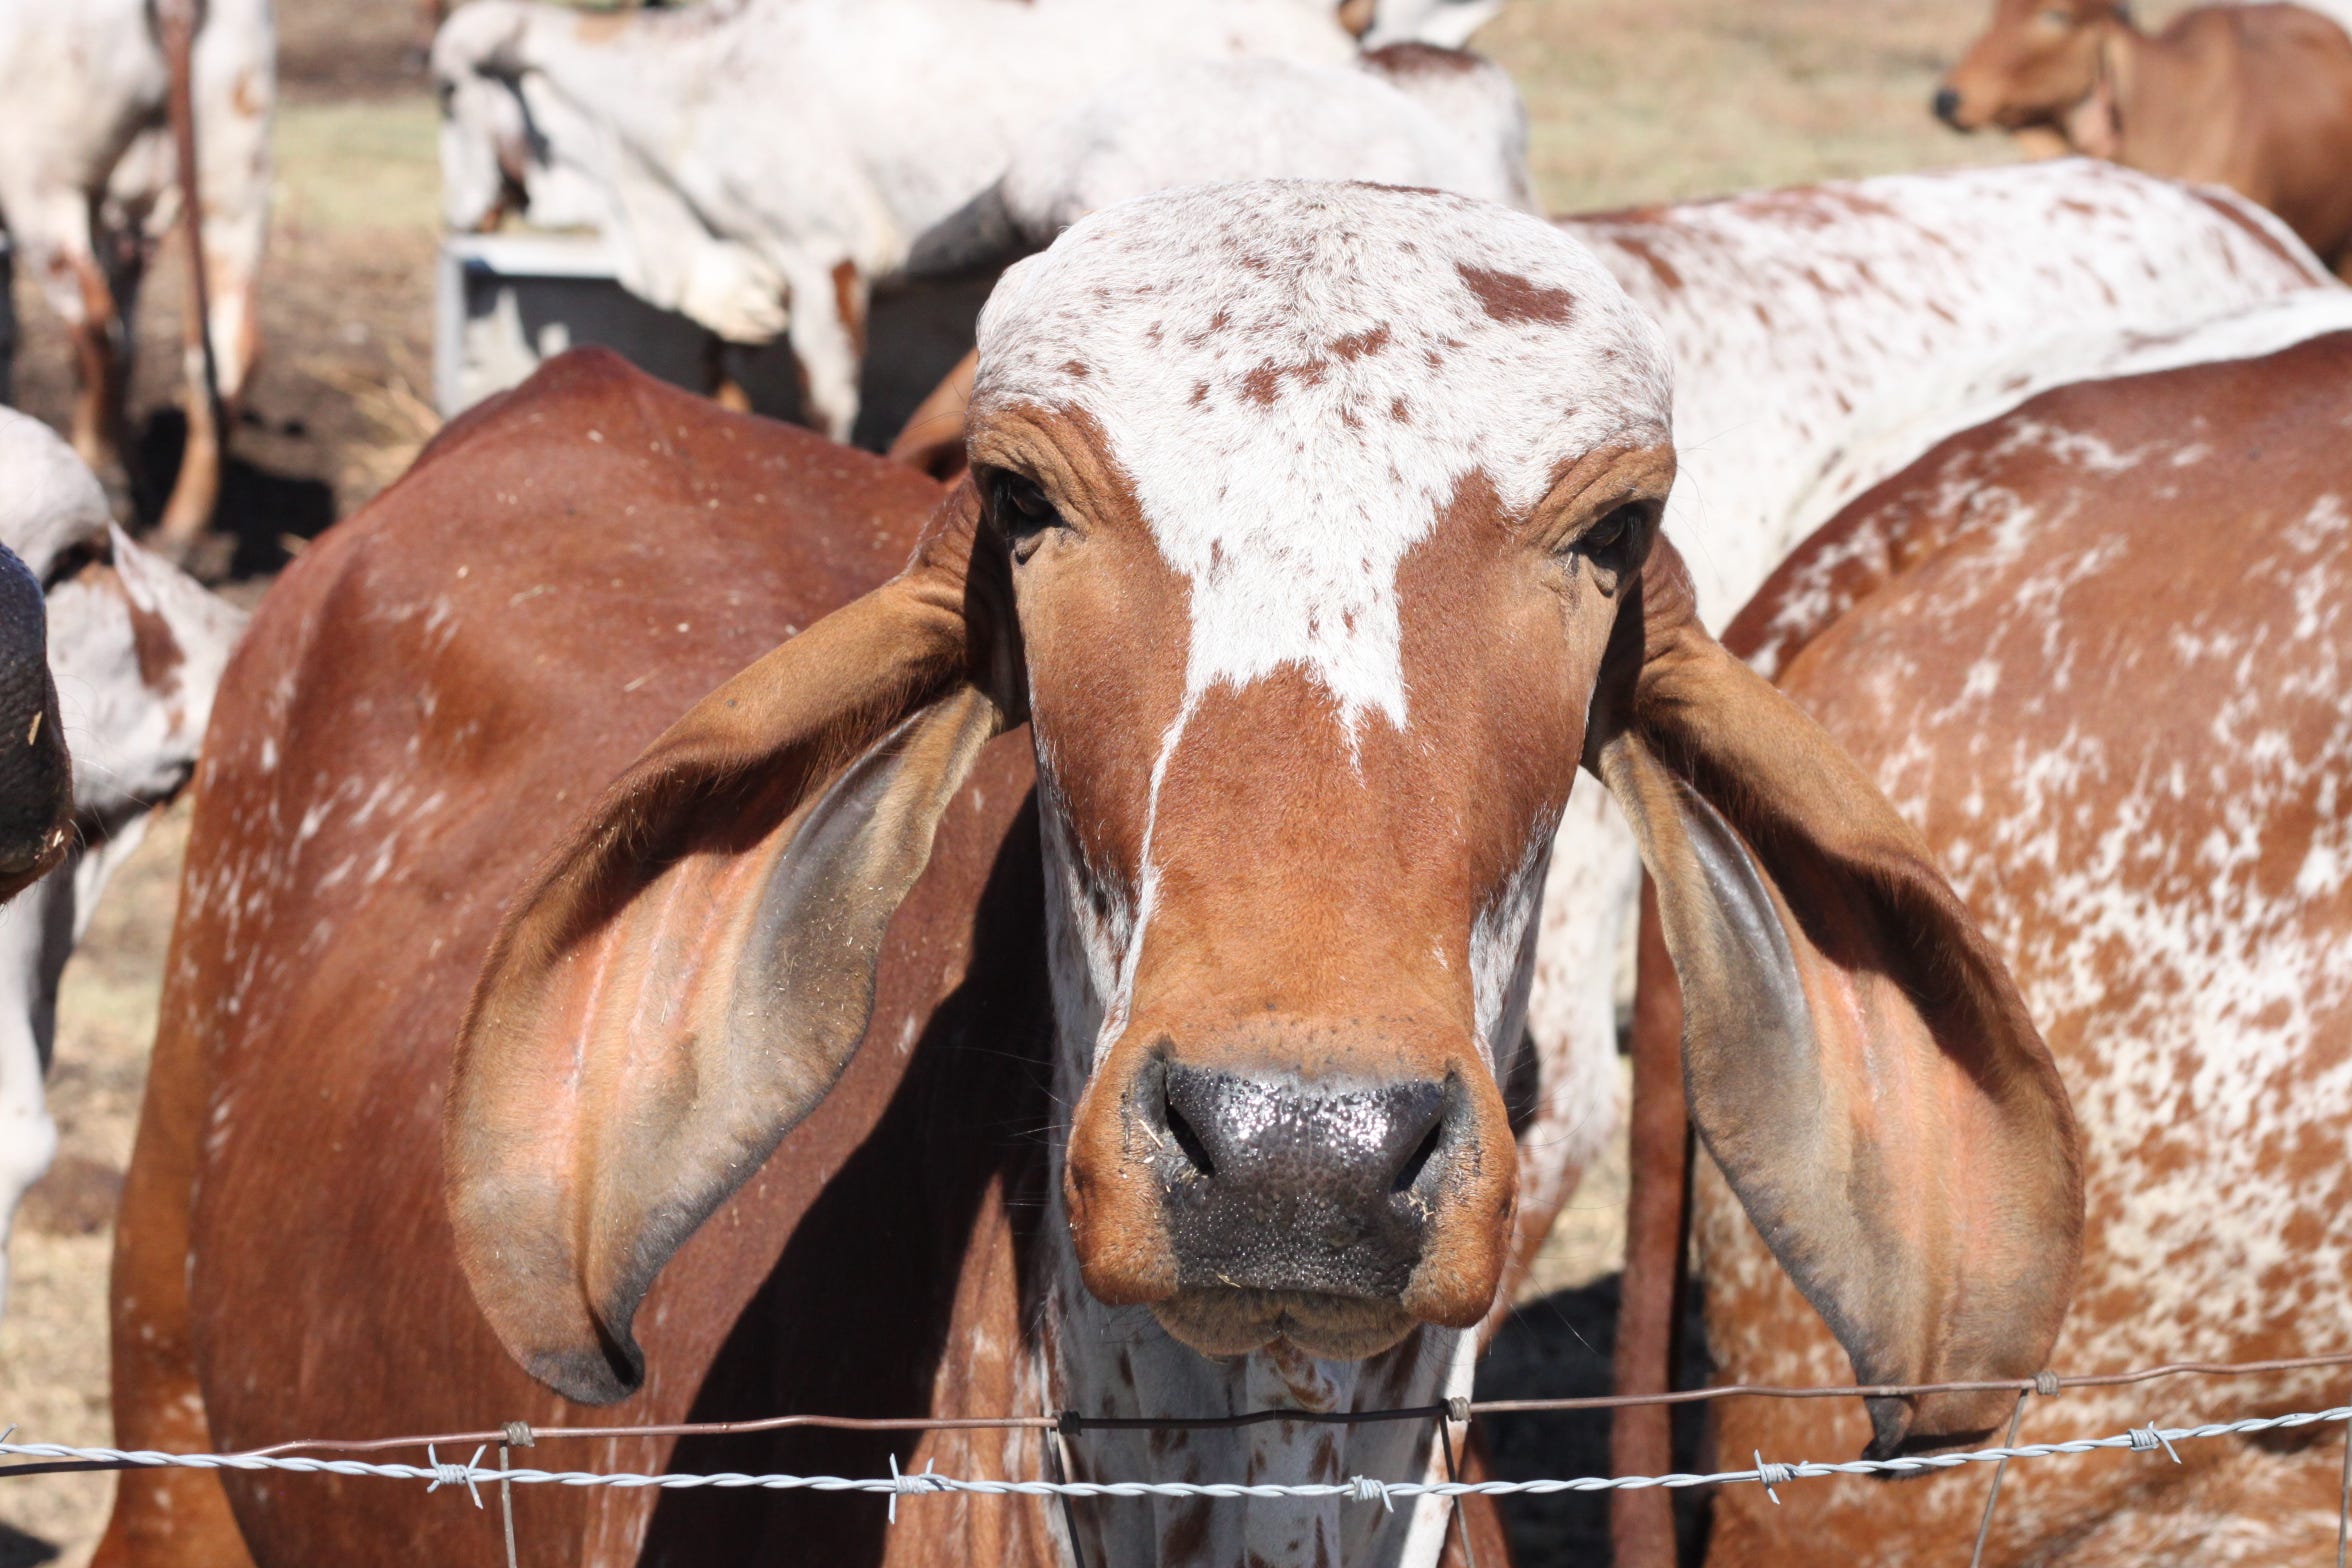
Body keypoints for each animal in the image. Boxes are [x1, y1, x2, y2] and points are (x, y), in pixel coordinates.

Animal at [0, 0, 272, 557]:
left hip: (39, 182)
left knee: (95, 324)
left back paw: (106, 476)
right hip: (234, 181)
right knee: (228, 353)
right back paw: (180, 528)